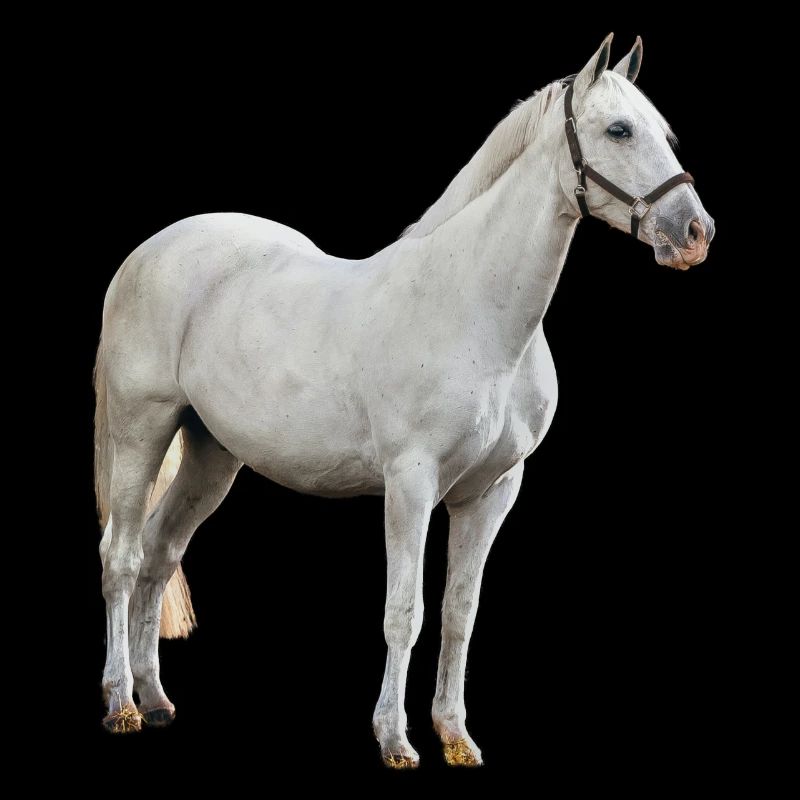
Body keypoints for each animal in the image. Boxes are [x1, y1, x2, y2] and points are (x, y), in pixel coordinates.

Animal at [94, 34, 714, 767]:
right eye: (619, 130)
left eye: (665, 134)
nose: (695, 233)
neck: (473, 308)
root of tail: (147, 254)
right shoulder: (410, 483)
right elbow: (405, 612)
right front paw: (395, 739)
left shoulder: (493, 491)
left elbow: (458, 613)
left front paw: (455, 736)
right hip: (142, 429)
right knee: (123, 556)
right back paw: (122, 704)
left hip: (213, 454)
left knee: (161, 551)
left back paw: (158, 701)